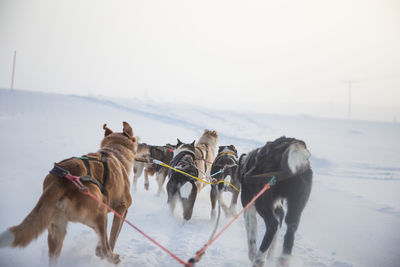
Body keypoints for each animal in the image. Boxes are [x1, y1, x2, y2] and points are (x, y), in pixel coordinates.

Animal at [0, 123, 138, 266]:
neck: (114, 151)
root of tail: (58, 182)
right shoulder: (122, 208)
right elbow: (113, 235)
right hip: (100, 213)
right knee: (104, 249)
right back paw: (113, 258)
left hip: (57, 230)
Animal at [238, 137, 312, 266]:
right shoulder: (278, 208)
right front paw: (270, 257)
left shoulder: (249, 205)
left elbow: (251, 232)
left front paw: (253, 254)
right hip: (296, 205)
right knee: (291, 229)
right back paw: (283, 260)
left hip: (262, 202)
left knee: (272, 225)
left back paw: (259, 259)